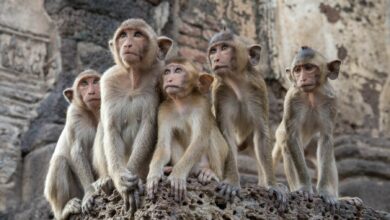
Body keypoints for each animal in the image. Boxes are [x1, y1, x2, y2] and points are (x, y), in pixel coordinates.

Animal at [43, 69, 100, 219]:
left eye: (95, 81)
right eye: (84, 83)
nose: (91, 91)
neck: (93, 114)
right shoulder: (74, 114)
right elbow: (77, 151)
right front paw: (90, 192)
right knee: (60, 161)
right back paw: (64, 210)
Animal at [99, 18, 174, 215]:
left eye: (138, 35)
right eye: (123, 35)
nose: (127, 44)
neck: (134, 78)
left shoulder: (159, 76)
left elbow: (149, 126)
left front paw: (131, 179)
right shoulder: (108, 82)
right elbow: (111, 129)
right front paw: (121, 181)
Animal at [145, 57, 239, 202]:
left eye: (178, 70)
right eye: (167, 72)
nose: (169, 79)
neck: (181, 102)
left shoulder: (202, 106)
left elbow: (199, 141)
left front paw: (178, 175)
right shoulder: (164, 110)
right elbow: (163, 146)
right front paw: (154, 174)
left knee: (211, 134)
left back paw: (211, 173)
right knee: (173, 137)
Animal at [207, 29, 286, 208]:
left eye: (224, 48)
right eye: (213, 50)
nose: (215, 59)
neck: (237, 83)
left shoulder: (258, 89)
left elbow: (262, 134)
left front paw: (272, 185)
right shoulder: (220, 92)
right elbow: (226, 135)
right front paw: (232, 182)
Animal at [272, 46, 362, 211]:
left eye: (308, 67)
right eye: (297, 70)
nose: (302, 79)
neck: (312, 95)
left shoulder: (332, 100)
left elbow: (326, 139)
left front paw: (326, 193)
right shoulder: (291, 99)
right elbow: (292, 136)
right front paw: (304, 189)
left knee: (326, 153)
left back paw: (341, 198)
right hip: (281, 134)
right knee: (287, 147)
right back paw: (294, 188)